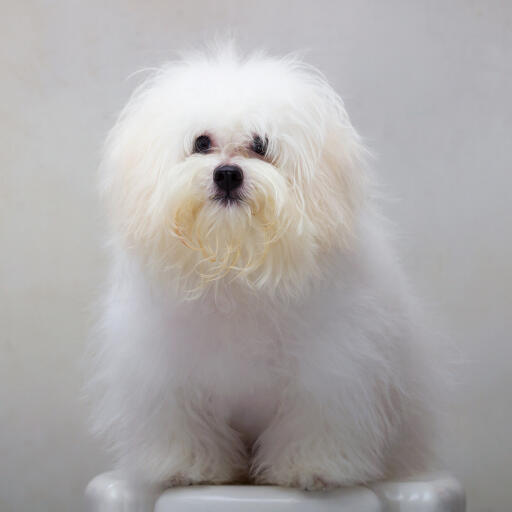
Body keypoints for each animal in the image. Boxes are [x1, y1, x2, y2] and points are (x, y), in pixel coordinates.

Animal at [89, 46, 440, 490]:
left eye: (260, 144)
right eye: (201, 143)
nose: (227, 174)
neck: (237, 266)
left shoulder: (332, 371)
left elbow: (313, 420)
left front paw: (309, 469)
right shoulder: (166, 377)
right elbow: (184, 422)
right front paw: (189, 468)